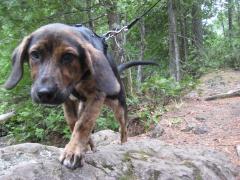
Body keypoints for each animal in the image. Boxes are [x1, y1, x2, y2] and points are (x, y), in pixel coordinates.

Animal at [4, 23, 158, 169]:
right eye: (35, 54)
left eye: (68, 56)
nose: (44, 93)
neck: (77, 81)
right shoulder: (68, 101)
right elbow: (74, 122)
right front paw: (82, 145)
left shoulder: (96, 96)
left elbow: (84, 123)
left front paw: (73, 151)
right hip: (83, 104)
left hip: (118, 105)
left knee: (123, 128)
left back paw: (124, 143)